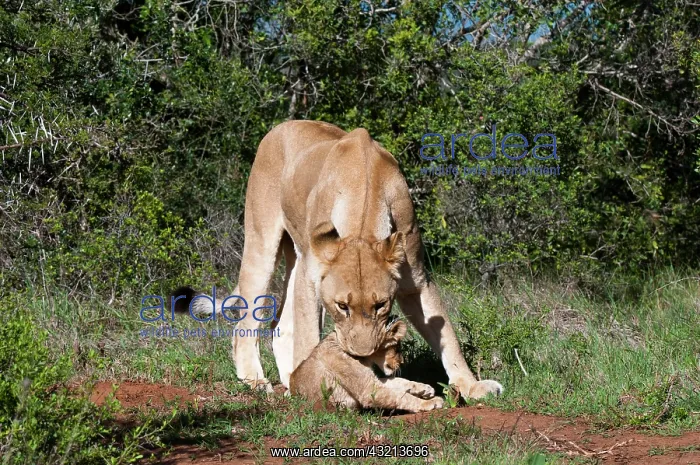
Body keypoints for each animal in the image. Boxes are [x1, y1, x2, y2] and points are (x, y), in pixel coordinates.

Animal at [174, 120, 502, 400]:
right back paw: (256, 380)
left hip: (297, 253)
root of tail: (282, 126)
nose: (362, 356)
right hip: (262, 241)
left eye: (381, 305)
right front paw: (308, 384)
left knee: (279, 325)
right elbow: (307, 337)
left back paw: (286, 378)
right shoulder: (311, 277)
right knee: (246, 321)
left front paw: (472, 386)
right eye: (342, 306)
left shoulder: (416, 279)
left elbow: (446, 334)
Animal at [289, 319, 443, 412]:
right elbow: (401, 396)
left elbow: (401, 381)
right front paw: (430, 402)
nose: (402, 362)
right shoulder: (368, 390)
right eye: (397, 349)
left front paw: (426, 389)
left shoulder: (373, 381)